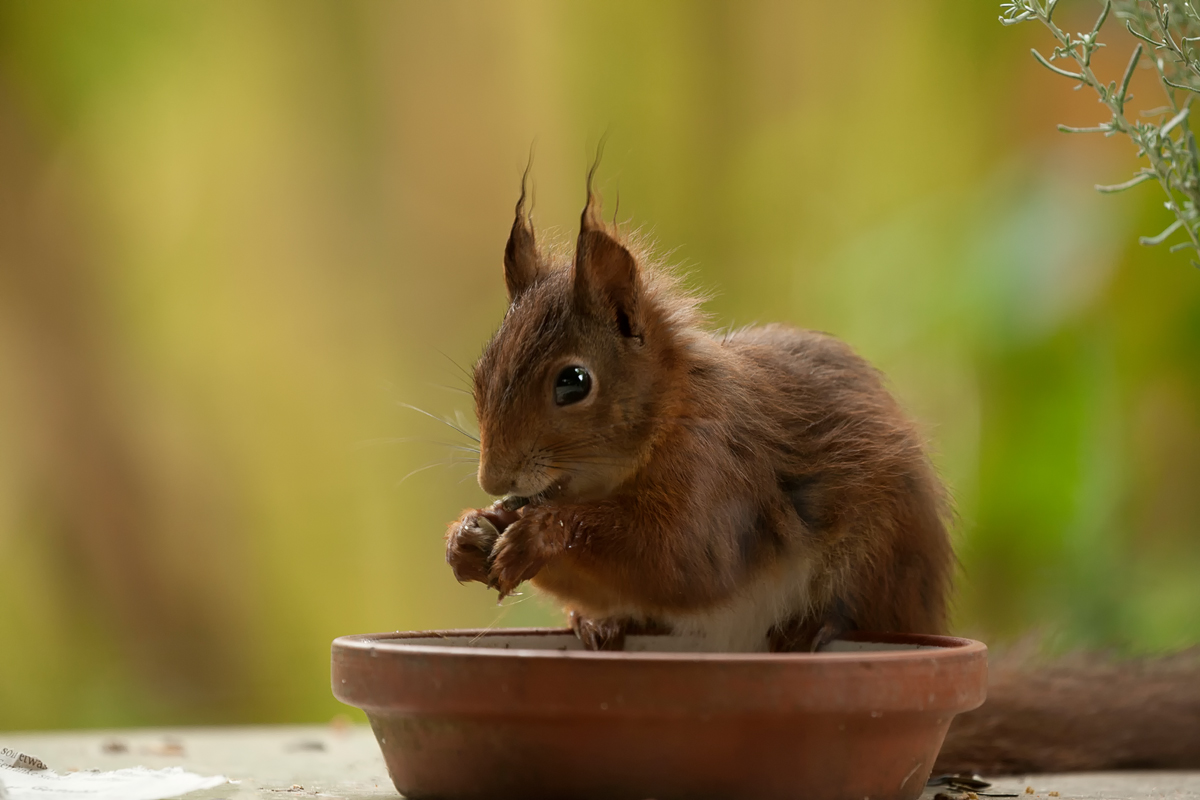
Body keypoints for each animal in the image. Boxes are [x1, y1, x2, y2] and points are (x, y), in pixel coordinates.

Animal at [446, 167, 950, 652]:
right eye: (482, 370)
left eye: (574, 383)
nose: (493, 480)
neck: (671, 416)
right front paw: (467, 535)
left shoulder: (719, 475)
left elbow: (685, 564)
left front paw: (540, 532)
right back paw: (600, 622)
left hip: (881, 556)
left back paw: (814, 627)